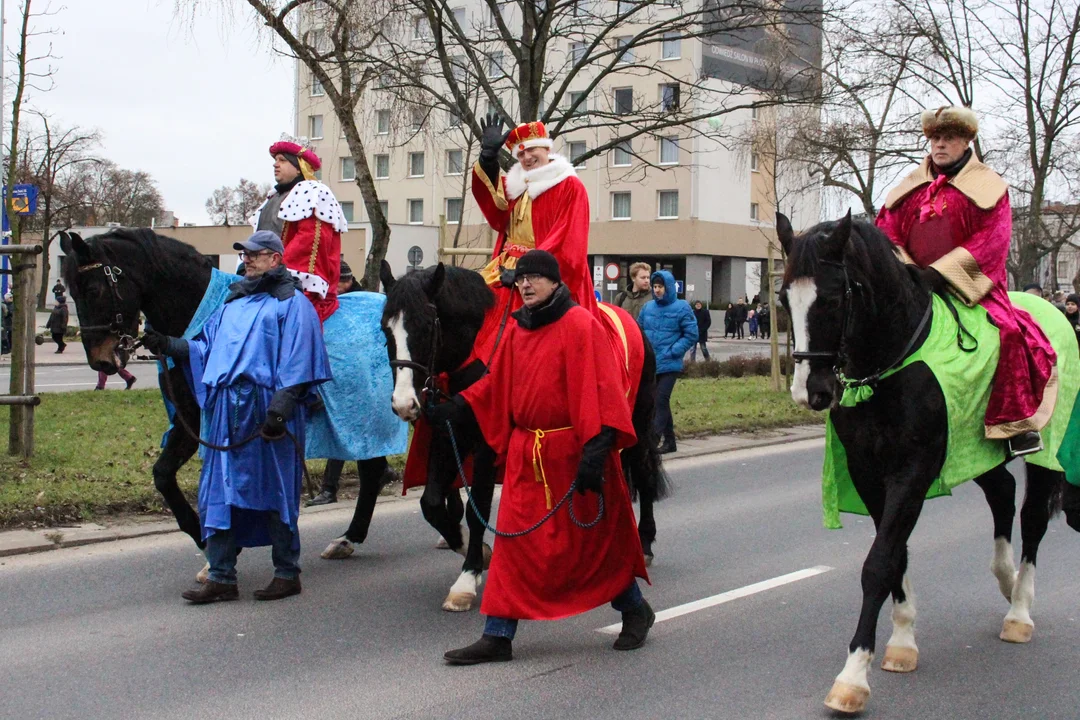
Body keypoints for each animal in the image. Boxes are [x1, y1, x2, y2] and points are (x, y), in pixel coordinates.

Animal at [777, 212, 1080, 716]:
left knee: (1033, 517)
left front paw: (852, 676)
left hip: (1046, 452)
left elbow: (879, 562)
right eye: (784, 298)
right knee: (1001, 493)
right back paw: (1005, 578)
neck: (891, 366)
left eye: (834, 297)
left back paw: (1018, 609)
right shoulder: (869, 474)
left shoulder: (912, 472)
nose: (810, 391)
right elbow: (895, 554)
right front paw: (902, 641)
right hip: (975, 451)